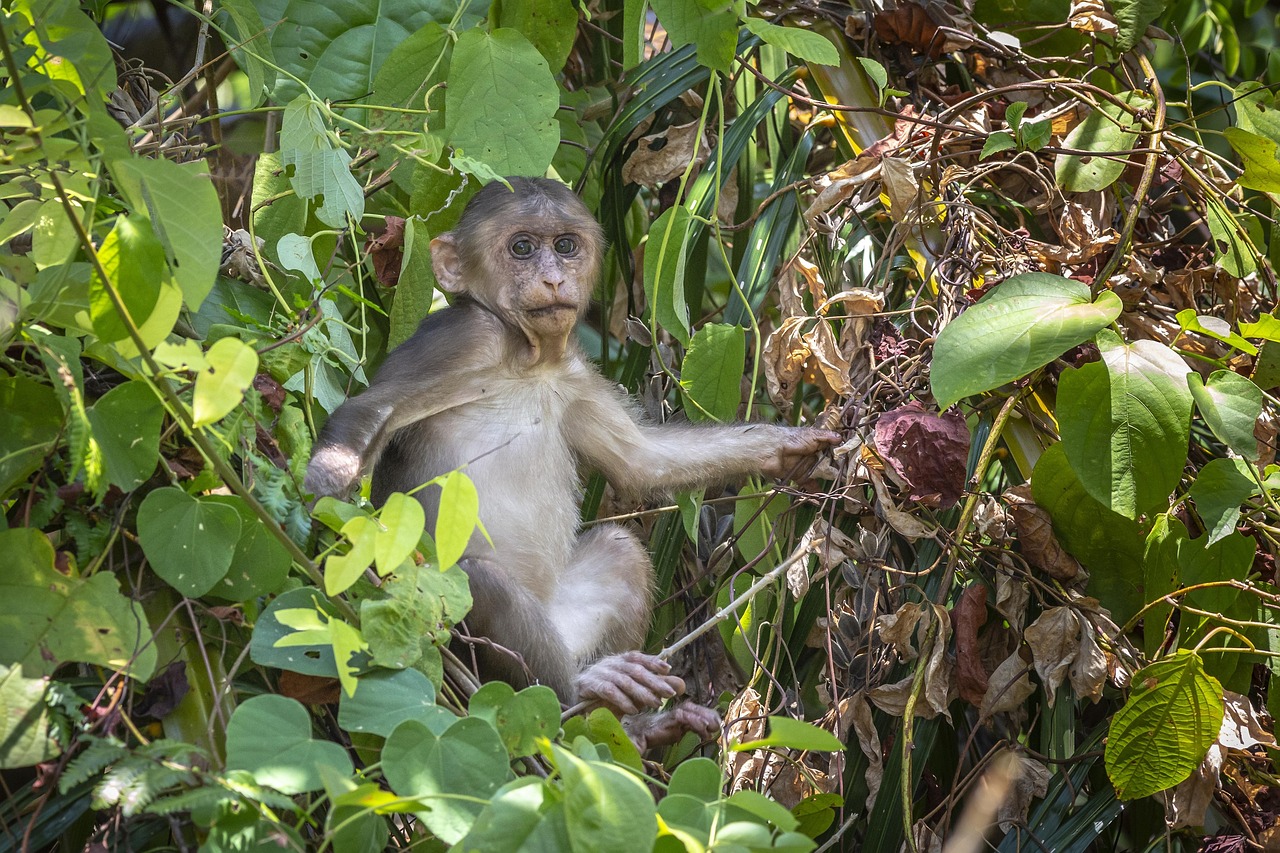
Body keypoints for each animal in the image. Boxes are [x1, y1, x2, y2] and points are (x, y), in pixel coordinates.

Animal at [305, 178, 844, 742]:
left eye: (565, 246)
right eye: (522, 248)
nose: (553, 277)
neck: (525, 359)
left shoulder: (574, 373)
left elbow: (641, 460)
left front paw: (789, 446)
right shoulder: (464, 337)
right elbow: (370, 410)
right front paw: (323, 492)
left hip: (563, 623)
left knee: (621, 550)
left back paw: (633, 726)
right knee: (482, 585)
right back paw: (580, 693)